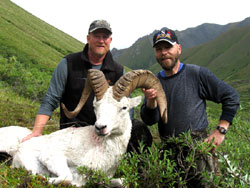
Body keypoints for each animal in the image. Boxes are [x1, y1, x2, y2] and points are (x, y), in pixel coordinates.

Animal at [0, 69, 168, 187]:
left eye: (124, 107)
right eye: (95, 105)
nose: (100, 127)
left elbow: (123, 181)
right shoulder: (50, 156)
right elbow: (67, 178)